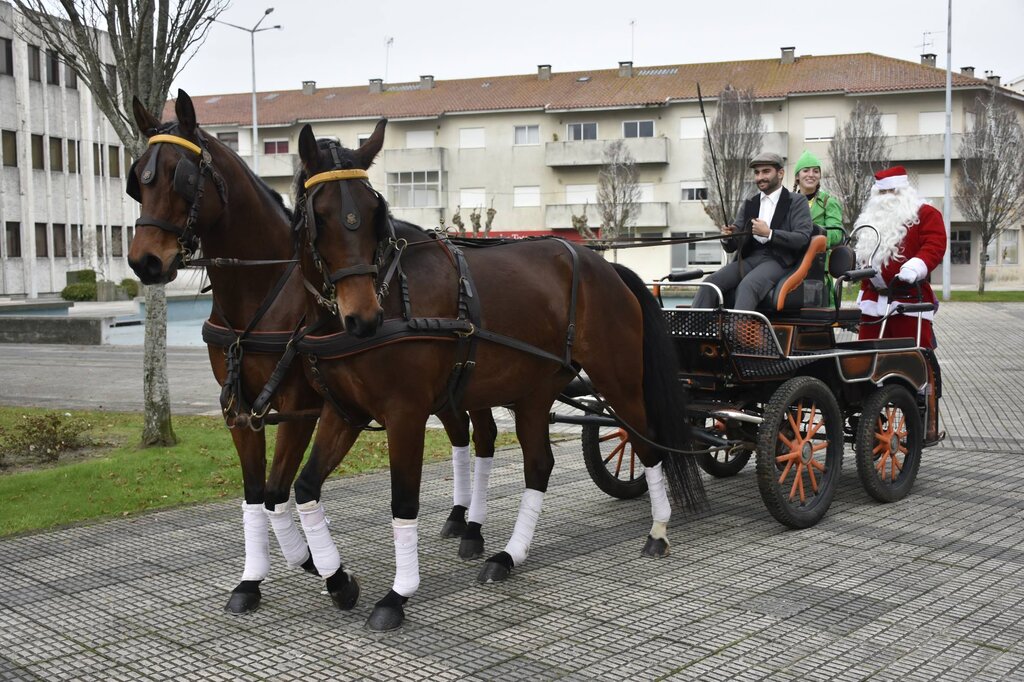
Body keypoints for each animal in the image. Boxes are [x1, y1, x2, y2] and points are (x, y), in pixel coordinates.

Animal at [126, 89, 495, 610]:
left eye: (183, 176)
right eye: (138, 176)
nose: (146, 260)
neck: (263, 295)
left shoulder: (299, 407)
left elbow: (278, 491)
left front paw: (329, 573)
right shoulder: (240, 409)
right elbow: (255, 493)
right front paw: (256, 579)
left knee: (483, 437)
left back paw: (474, 528)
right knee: (462, 434)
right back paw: (458, 518)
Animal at [290, 119, 704, 630]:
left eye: (373, 213)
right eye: (321, 215)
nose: (363, 318)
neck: (393, 294)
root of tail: (604, 266)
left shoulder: (406, 416)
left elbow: (403, 502)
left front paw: (398, 594)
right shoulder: (344, 412)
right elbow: (305, 488)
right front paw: (338, 580)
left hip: (620, 381)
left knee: (645, 443)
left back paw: (659, 527)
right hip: (534, 393)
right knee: (540, 465)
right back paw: (509, 555)